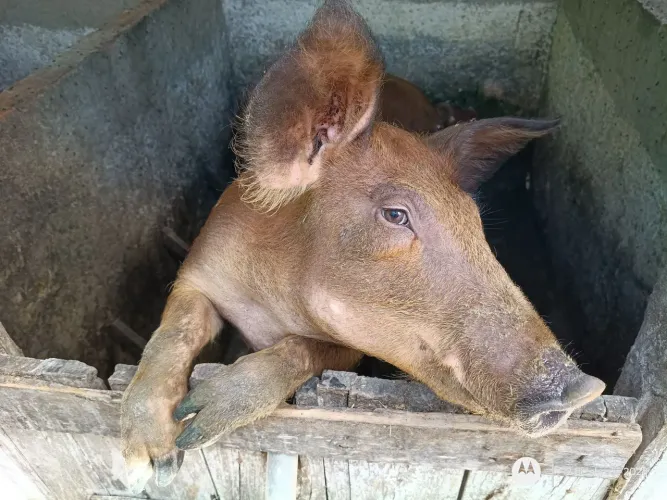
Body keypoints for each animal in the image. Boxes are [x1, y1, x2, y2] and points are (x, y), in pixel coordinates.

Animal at [121, 0, 605, 488]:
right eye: (395, 215)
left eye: (473, 220)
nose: (588, 388)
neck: (270, 304)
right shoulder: (197, 270)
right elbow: (173, 331)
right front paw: (144, 466)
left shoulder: (351, 348)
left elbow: (307, 348)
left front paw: (197, 423)